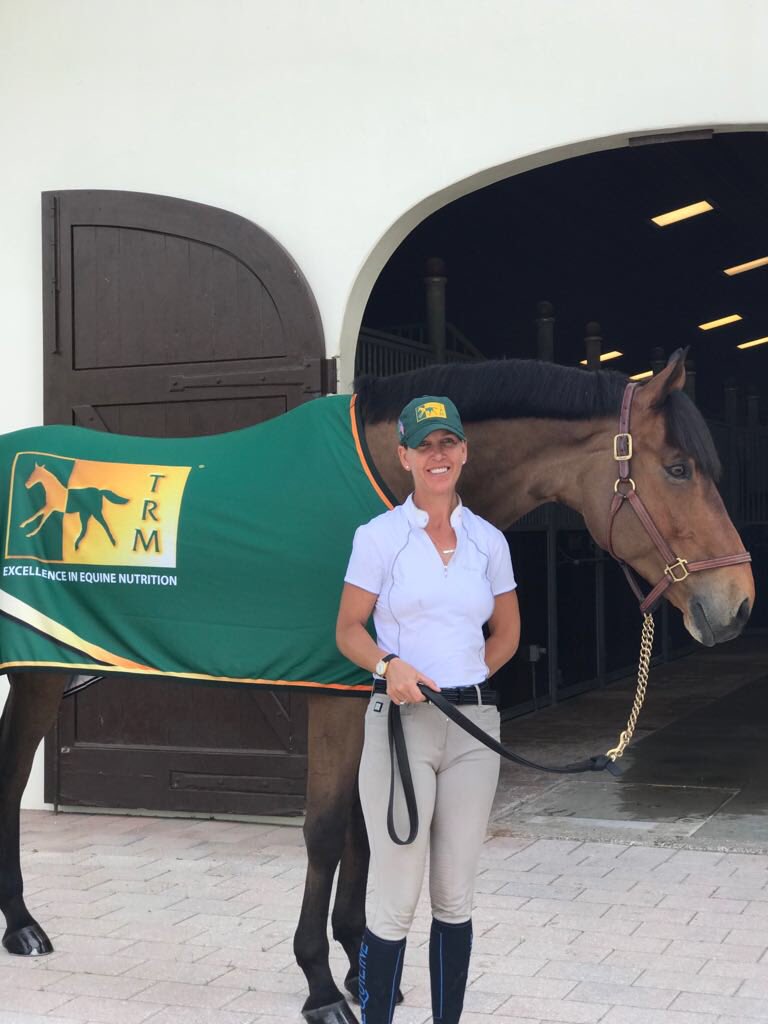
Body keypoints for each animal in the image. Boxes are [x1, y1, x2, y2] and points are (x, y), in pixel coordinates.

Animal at [0, 352, 754, 1024]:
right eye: (679, 468)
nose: (738, 605)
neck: (384, 487)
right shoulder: (334, 699)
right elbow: (328, 831)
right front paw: (322, 987)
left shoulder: (376, 698)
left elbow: (368, 830)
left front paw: (366, 970)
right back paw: (24, 926)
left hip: (39, 672)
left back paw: (20, 925)